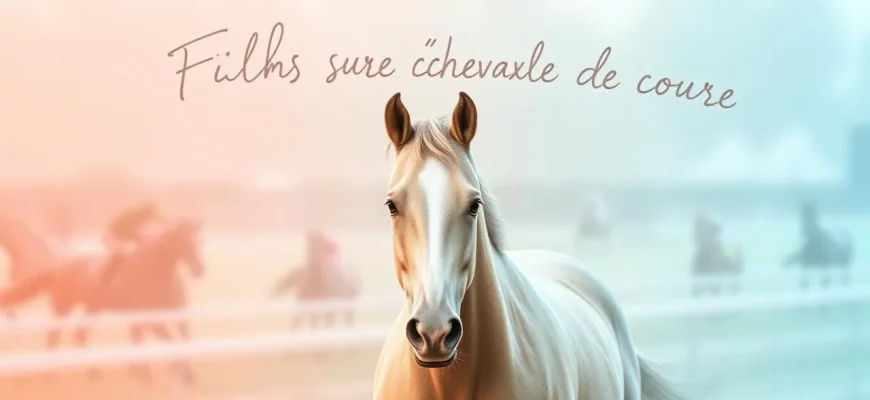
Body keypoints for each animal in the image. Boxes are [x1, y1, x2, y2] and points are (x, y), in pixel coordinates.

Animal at [0, 218, 205, 384]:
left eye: (198, 240)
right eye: (182, 241)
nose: (199, 269)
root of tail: (58, 267)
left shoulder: (174, 315)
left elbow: (180, 338)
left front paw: (181, 372)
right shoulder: (150, 319)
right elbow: (168, 339)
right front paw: (176, 371)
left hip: (91, 309)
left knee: (79, 335)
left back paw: (91, 372)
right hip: (64, 308)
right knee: (56, 336)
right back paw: (57, 373)